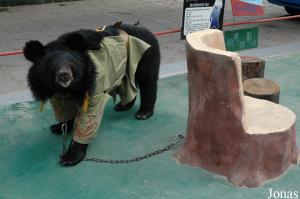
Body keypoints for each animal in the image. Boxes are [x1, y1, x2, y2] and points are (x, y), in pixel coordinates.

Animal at [23, 22, 161, 166]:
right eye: (52, 67)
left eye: (71, 64)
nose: (64, 75)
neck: (67, 89)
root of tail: (145, 29)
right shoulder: (53, 92)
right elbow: (65, 111)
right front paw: (59, 127)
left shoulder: (91, 84)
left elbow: (88, 118)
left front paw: (71, 156)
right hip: (123, 68)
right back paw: (122, 106)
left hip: (146, 56)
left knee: (148, 82)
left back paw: (143, 113)